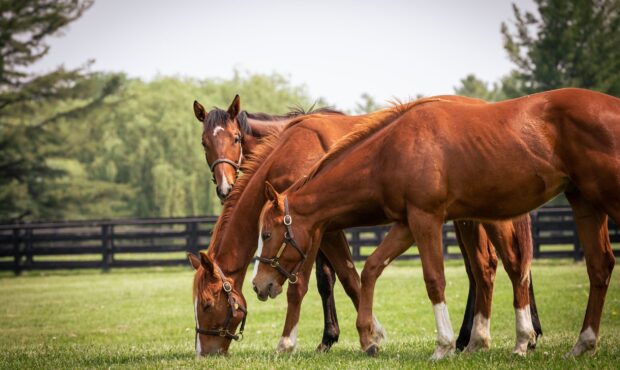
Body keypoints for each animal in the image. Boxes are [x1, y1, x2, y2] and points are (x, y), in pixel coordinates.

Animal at [190, 96, 544, 356]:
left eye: (207, 305)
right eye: (204, 142)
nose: (204, 352)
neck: (288, 150)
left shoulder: (318, 228)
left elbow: (323, 282)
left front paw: (355, 336)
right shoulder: (320, 229)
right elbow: (345, 278)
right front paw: (359, 334)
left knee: (499, 267)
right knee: (491, 269)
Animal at [253, 87, 620, 358]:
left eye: (268, 234)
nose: (259, 284)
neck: (391, 149)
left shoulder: (425, 220)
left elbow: (434, 279)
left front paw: (442, 346)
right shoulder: (406, 223)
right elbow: (370, 268)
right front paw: (368, 337)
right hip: (584, 204)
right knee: (596, 266)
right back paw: (578, 343)